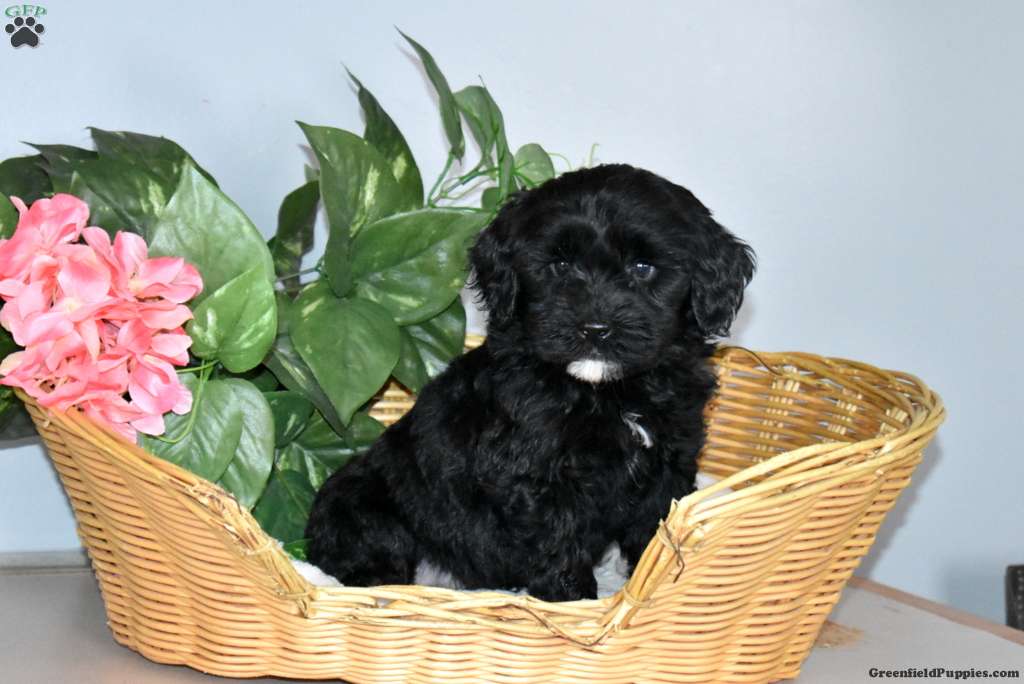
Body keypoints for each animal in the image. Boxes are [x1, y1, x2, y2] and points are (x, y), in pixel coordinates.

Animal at [305, 163, 755, 601]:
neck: (608, 392)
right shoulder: (537, 476)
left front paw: (655, 585)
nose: (595, 328)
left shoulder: (668, 462)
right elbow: (558, 542)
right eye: (559, 266)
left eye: (642, 268)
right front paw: (574, 603)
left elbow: (653, 531)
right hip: (365, 508)